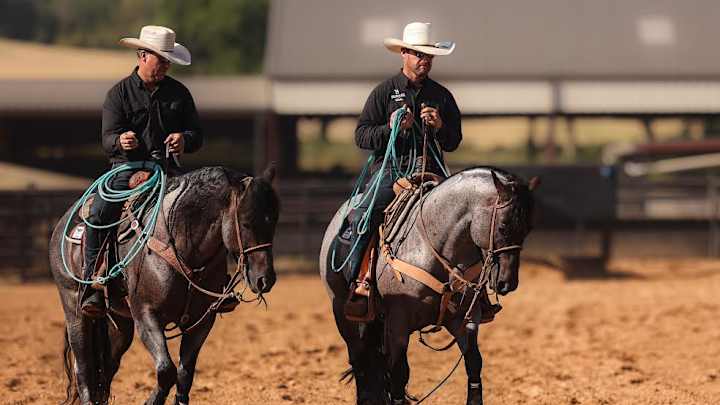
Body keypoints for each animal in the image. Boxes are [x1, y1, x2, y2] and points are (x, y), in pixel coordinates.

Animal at [49, 166, 280, 405]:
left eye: (274, 221)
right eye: (246, 223)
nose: (265, 279)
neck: (181, 246)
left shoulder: (201, 323)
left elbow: (185, 374)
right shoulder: (146, 316)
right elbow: (167, 370)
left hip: (120, 323)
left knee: (107, 367)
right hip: (74, 310)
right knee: (84, 367)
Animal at [320, 167, 538, 405]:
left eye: (528, 228)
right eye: (503, 226)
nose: (507, 282)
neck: (432, 248)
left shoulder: (465, 318)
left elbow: (473, 362)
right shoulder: (398, 323)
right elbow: (399, 373)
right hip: (345, 316)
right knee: (360, 360)